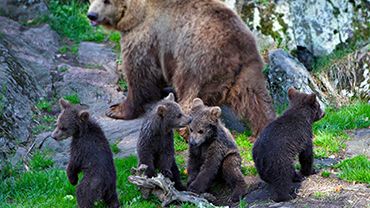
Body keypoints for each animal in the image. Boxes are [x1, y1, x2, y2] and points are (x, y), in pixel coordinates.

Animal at [88, 0, 276, 140]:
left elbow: (139, 72)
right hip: (249, 69)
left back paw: (185, 130)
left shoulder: (146, 35)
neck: (136, 13)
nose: (91, 15)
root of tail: (236, 49)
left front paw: (116, 109)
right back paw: (264, 130)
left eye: (107, 1)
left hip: (197, 62)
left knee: (190, 94)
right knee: (257, 100)